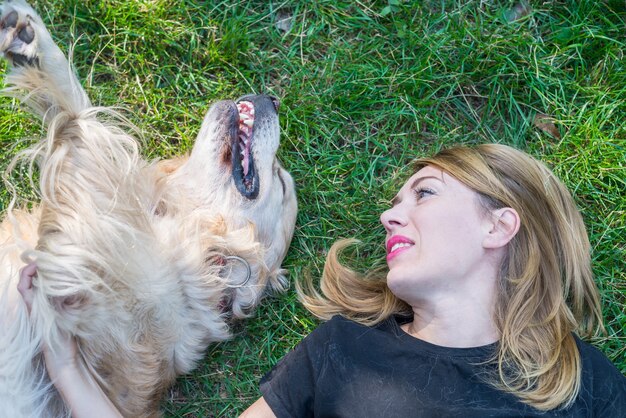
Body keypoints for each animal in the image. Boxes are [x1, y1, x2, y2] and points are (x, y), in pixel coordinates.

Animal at [0, 1, 296, 416]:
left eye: (282, 183)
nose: (273, 99)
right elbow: (77, 110)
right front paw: (31, 42)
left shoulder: (90, 286)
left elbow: (84, 127)